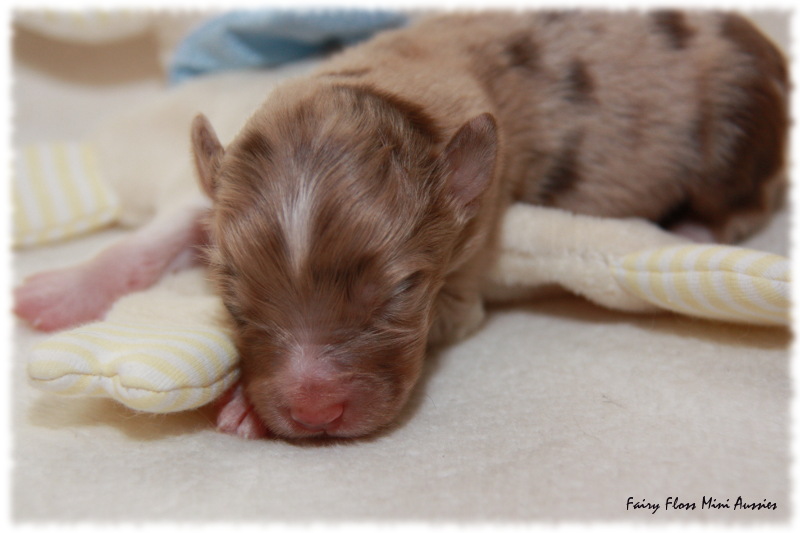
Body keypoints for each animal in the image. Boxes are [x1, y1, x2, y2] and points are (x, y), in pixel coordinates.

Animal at [12, 11, 788, 440]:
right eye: (232, 301)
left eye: (400, 295)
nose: (314, 411)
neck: (393, 80)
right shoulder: (220, 202)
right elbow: (163, 231)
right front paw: (62, 289)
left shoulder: (466, 268)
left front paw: (249, 412)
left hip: (738, 131)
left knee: (747, 198)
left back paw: (691, 231)